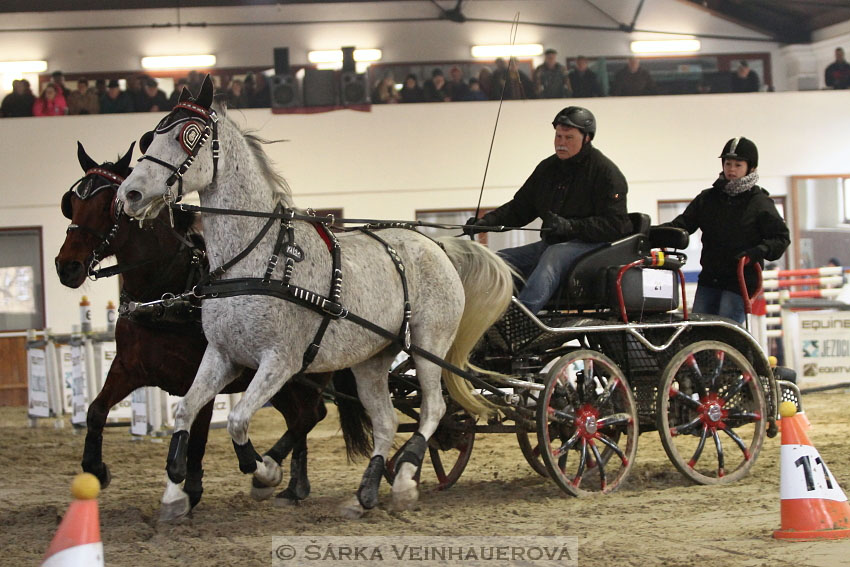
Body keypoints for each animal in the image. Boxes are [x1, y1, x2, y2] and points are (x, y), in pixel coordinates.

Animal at [54, 142, 370, 516]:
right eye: (71, 204)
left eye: (108, 205)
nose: (66, 267)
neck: (167, 292)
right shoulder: (128, 368)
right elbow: (96, 410)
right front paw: (96, 468)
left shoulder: (202, 372)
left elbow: (199, 438)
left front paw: (189, 489)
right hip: (283, 383)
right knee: (304, 416)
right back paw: (294, 486)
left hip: (302, 373)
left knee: (309, 415)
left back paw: (273, 472)